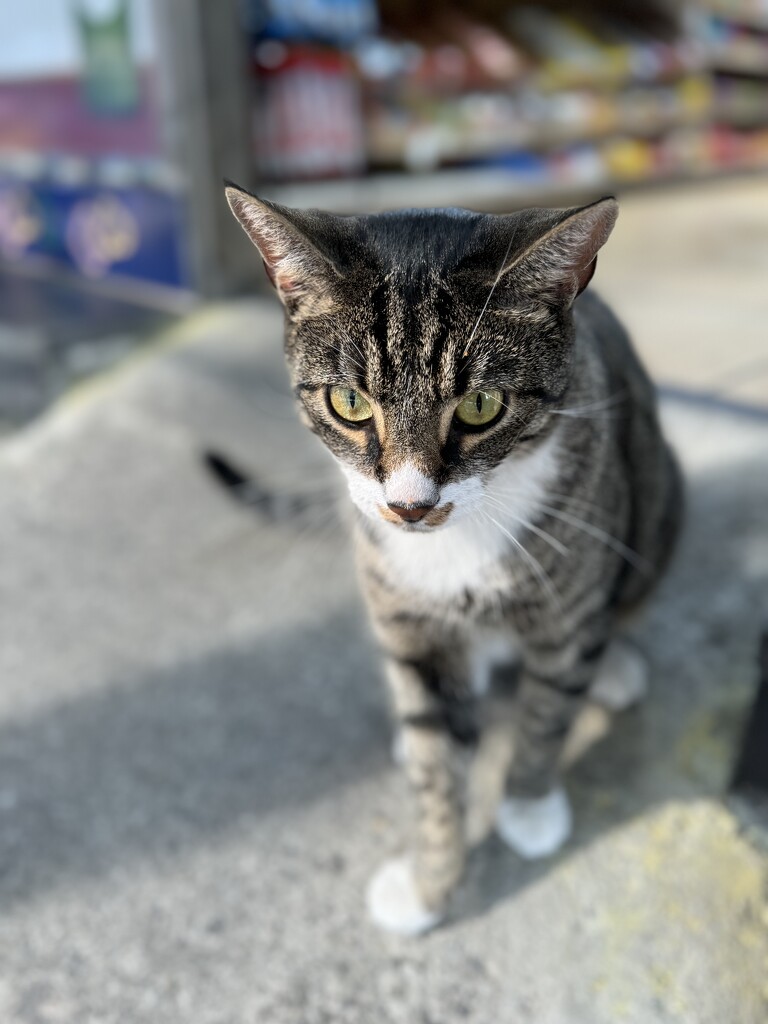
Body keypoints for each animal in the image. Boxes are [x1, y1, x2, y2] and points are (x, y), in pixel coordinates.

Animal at [225, 184, 684, 937]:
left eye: (481, 405)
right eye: (349, 402)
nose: (410, 505)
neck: (457, 541)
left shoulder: (567, 601)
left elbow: (545, 715)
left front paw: (528, 808)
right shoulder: (409, 619)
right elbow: (437, 762)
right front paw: (427, 885)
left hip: (659, 501)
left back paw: (613, 666)